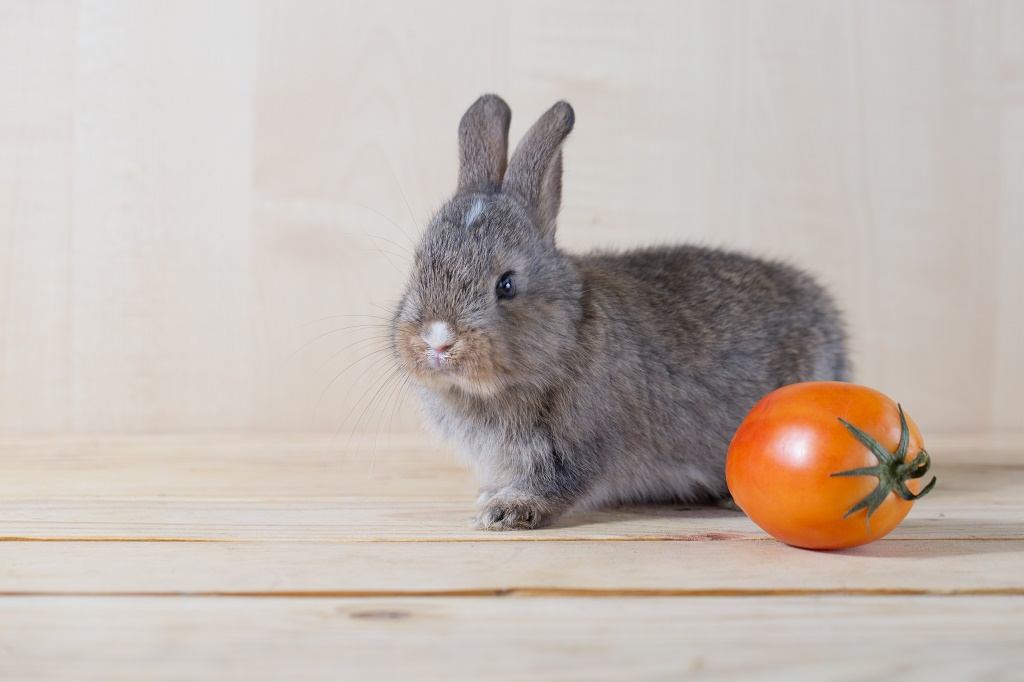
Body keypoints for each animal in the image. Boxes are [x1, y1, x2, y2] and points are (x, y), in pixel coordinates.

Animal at [387, 94, 843, 532]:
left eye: (507, 284)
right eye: (418, 266)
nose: (438, 340)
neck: (565, 337)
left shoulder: (578, 444)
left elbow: (558, 484)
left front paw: (505, 511)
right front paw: (490, 498)